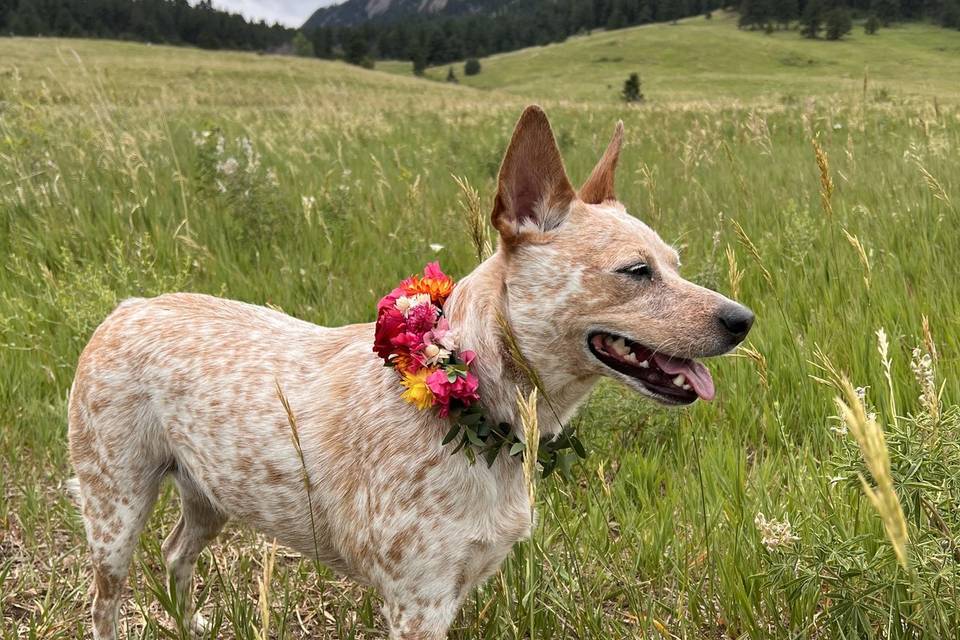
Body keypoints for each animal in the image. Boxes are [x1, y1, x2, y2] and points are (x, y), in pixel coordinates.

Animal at [71, 107, 752, 636]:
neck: (480, 399)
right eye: (636, 271)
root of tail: (126, 307)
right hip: (114, 514)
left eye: (675, 263)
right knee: (106, 601)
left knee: (175, 556)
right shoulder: (417, 602)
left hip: (210, 494)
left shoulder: (460, 583)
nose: (742, 319)